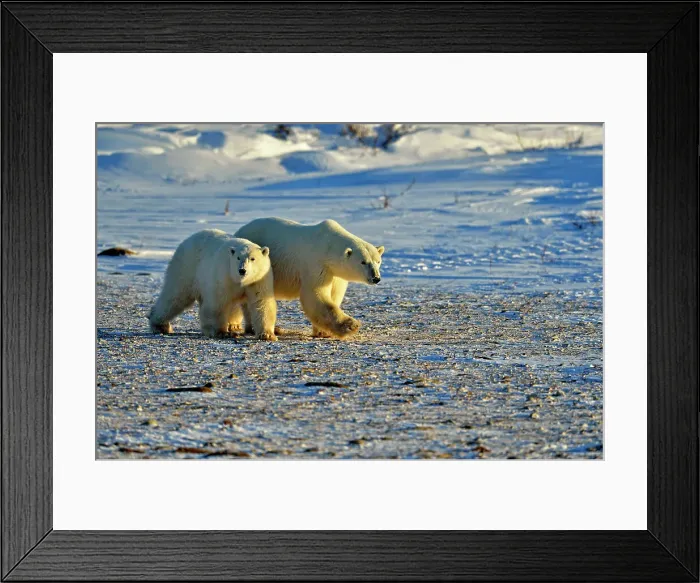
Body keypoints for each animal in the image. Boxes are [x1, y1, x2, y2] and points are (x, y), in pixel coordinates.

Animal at [148, 229, 277, 341]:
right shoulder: (224, 275)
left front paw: (267, 335)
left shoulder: (259, 279)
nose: (242, 270)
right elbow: (218, 302)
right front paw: (221, 332)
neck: (240, 281)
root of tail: (186, 241)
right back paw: (159, 325)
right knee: (175, 297)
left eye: (252, 258)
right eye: (238, 258)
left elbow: (261, 302)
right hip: (186, 268)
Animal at [234, 217, 385, 339]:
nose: (376, 278)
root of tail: (238, 232)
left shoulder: (336, 273)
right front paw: (350, 325)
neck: (328, 247)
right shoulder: (316, 264)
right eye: (363, 262)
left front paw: (323, 332)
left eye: (378, 261)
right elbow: (315, 295)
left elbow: (334, 295)